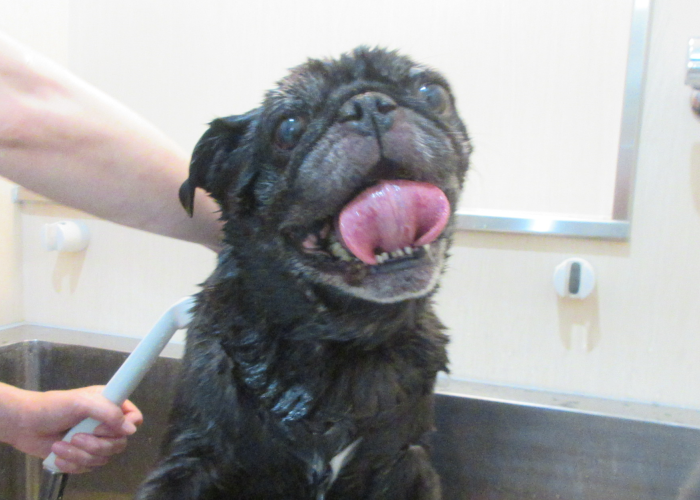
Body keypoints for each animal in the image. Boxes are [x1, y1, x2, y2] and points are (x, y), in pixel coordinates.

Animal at [136, 47, 470, 500]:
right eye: (288, 128)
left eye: (432, 94)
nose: (367, 104)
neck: (341, 341)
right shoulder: (191, 462)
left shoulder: (407, 465)